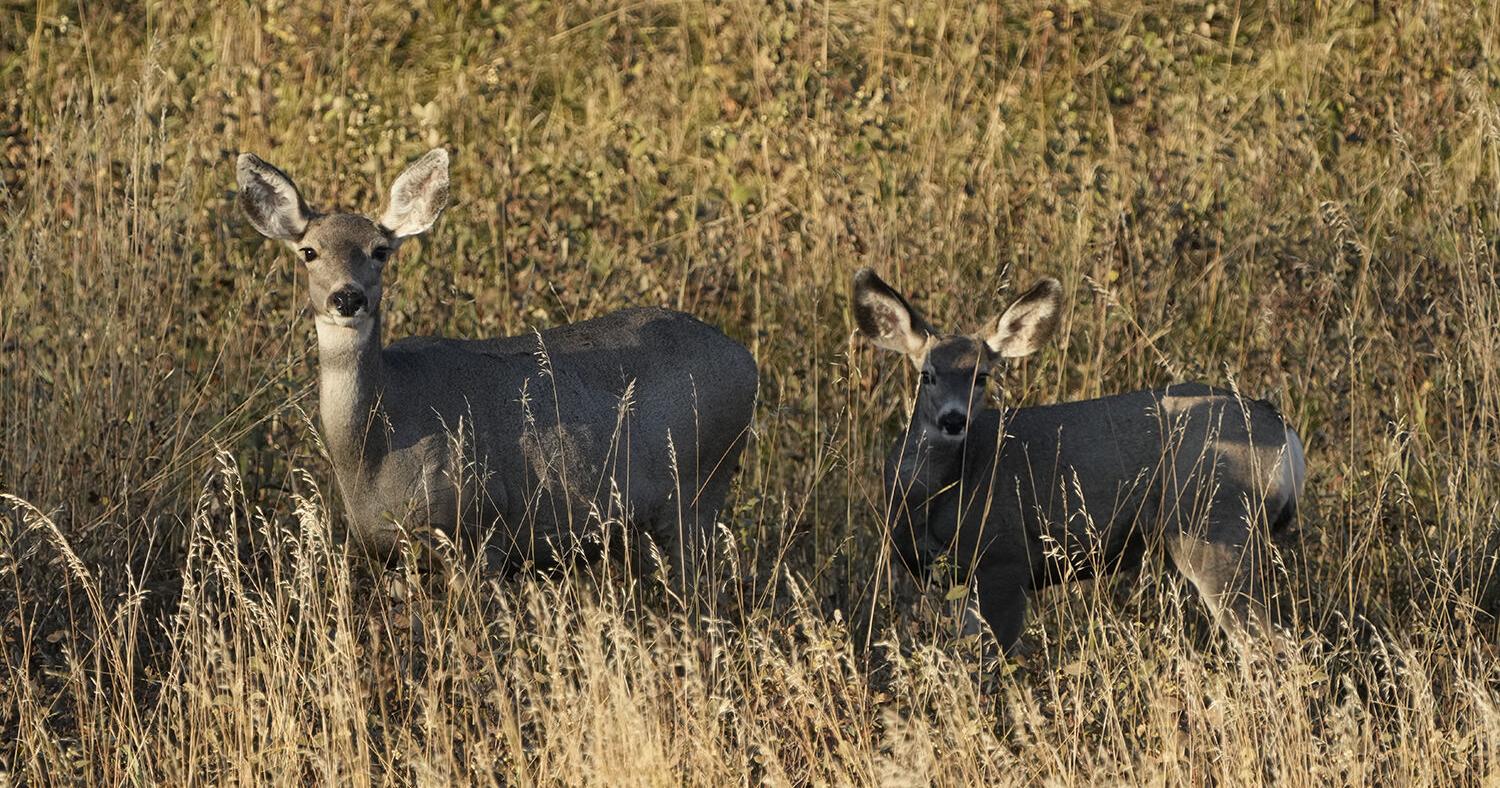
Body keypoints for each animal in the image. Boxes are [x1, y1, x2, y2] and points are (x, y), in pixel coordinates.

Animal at [235, 148, 757, 589]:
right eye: (309, 252)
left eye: (380, 251)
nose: (347, 297)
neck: (375, 449)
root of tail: (748, 361)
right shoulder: (393, 553)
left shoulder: (477, 523)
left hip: (698, 489)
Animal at [852, 268, 1306, 654]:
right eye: (926, 374)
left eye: (982, 376)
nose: (953, 419)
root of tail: (1284, 431)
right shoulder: (957, 578)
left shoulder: (1003, 559)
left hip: (1214, 530)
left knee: (1271, 644)